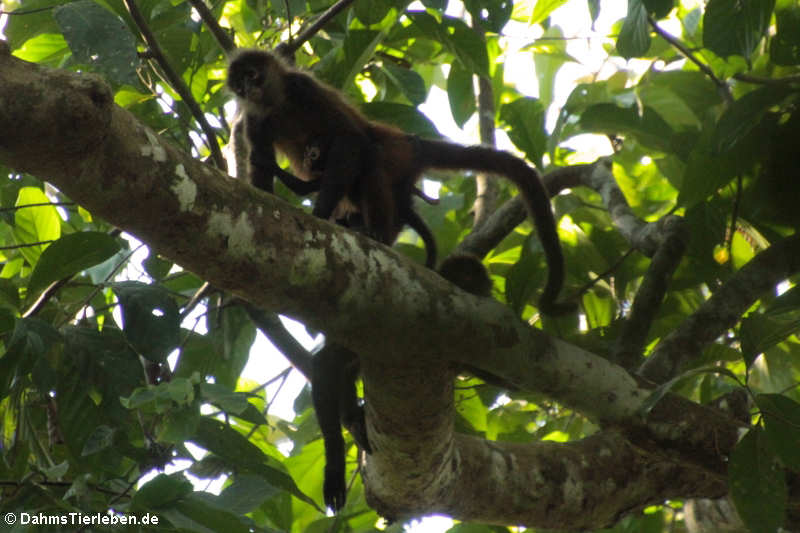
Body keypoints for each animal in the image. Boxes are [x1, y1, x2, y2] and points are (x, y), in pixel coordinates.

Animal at [228, 50, 572, 512]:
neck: (278, 104)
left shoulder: (304, 89)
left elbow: (348, 141)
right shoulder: (255, 122)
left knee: (367, 153)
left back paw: (370, 229)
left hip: (391, 155)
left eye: (254, 74)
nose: (249, 88)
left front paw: (318, 211)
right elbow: (263, 176)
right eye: (240, 85)